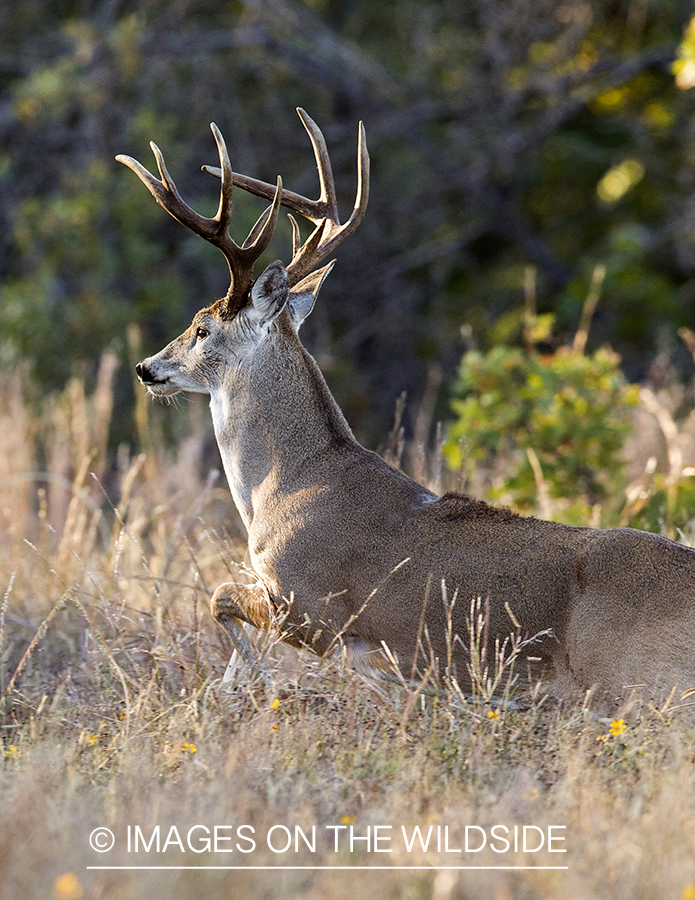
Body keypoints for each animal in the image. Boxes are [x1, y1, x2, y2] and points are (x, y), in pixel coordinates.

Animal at [118, 107, 695, 712]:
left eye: (202, 329)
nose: (146, 367)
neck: (282, 487)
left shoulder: (312, 607)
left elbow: (219, 595)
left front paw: (248, 683)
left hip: (629, 681)